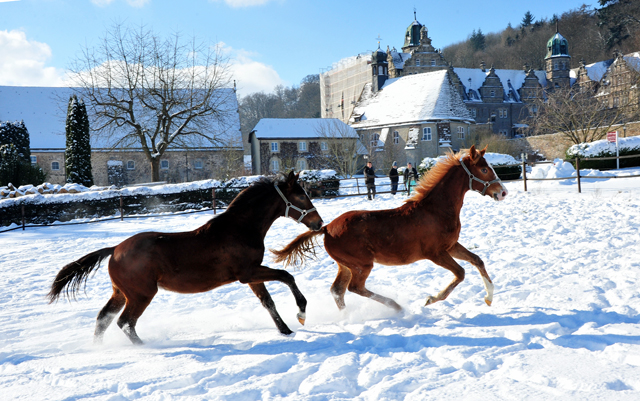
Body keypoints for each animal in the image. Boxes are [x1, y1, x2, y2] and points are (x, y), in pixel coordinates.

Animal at [48, 172, 324, 344]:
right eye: (301, 196)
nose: (319, 223)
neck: (240, 229)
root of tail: (115, 249)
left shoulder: (251, 276)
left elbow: (268, 302)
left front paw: (285, 330)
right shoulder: (248, 273)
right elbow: (286, 276)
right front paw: (301, 313)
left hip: (121, 293)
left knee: (103, 320)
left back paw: (98, 348)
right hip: (141, 294)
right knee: (125, 323)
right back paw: (144, 346)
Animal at [272, 145, 508, 310]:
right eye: (484, 169)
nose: (503, 192)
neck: (436, 210)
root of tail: (327, 228)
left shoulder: (450, 246)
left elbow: (477, 260)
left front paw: (489, 297)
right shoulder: (435, 253)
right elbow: (460, 273)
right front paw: (431, 299)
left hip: (345, 265)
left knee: (338, 291)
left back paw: (348, 317)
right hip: (362, 264)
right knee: (354, 288)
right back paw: (396, 307)